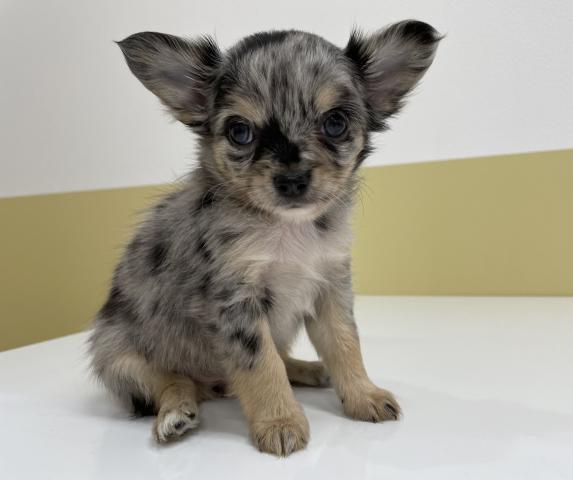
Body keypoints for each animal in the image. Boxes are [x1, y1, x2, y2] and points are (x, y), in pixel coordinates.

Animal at [88, 21, 440, 456]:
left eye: (335, 123)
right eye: (240, 132)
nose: (291, 179)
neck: (287, 229)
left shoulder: (330, 289)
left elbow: (345, 346)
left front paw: (362, 394)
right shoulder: (237, 304)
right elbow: (262, 366)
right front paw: (280, 421)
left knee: (283, 357)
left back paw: (308, 369)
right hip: (119, 357)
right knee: (171, 381)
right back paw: (175, 413)